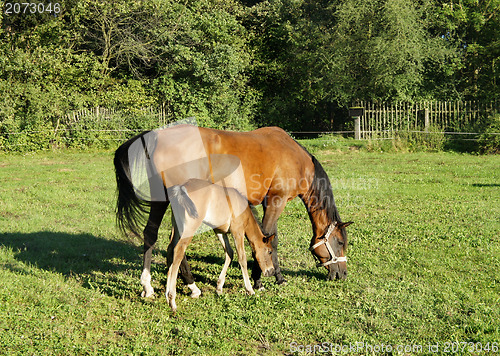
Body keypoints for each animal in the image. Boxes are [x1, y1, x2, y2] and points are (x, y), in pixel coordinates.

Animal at [115, 124, 354, 296]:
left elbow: (267, 237)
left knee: (152, 234)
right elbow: (270, 239)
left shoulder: (267, 202)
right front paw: (263, 279)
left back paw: (152, 286)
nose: (342, 274)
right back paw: (189, 285)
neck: (296, 159)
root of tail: (156, 135)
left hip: (164, 202)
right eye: (340, 242)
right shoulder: (277, 201)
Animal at [166, 178, 276, 312]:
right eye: (269, 251)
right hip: (189, 228)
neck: (242, 208)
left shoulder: (219, 231)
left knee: (170, 249)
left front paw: (219, 288)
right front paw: (249, 289)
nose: (271, 271)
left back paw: (167, 296)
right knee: (178, 251)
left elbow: (229, 252)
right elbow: (242, 258)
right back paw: (172, 300)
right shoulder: (237, 231)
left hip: (176, 227)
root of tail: (181, 188)